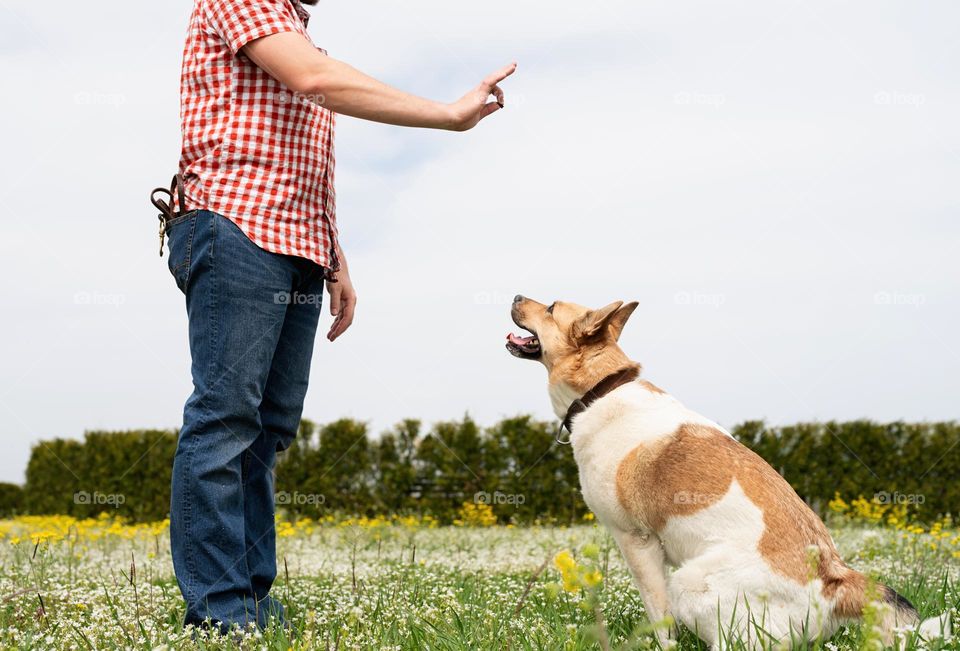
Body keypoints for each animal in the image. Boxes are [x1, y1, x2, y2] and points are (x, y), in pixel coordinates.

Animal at [506, 298, 940, 648]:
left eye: (550, 307)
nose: (516, 296)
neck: (600, 389)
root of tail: (836, 581)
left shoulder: (636, 542)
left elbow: (659, 618)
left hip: (690, 584)